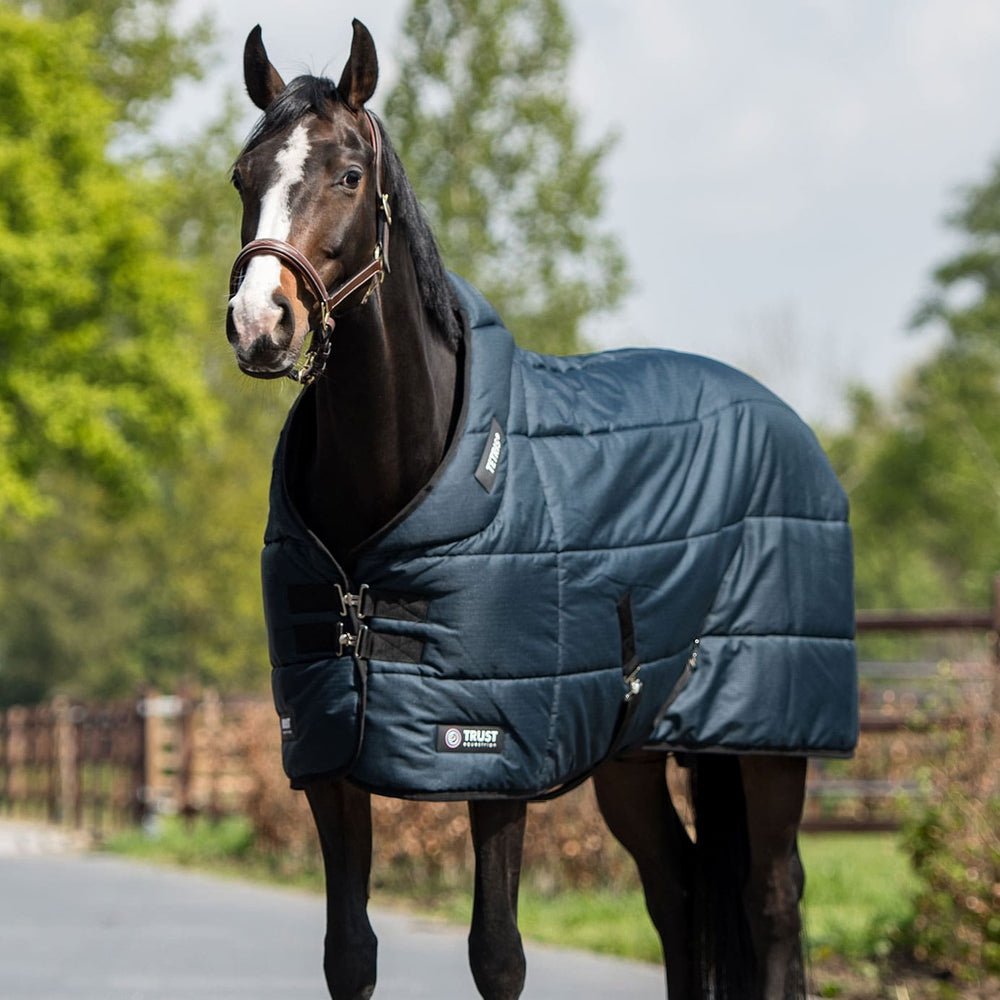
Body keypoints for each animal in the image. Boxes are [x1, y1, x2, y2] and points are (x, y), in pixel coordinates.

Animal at [225, 19, 857, 1000]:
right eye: (243, 176)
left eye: (348, 175)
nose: (261, 324)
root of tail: (787, 423)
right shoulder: (328, 760)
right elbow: (349, 955)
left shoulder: (497, 762)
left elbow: (497, 955)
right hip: (635, 753)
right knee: (678, 892)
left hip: (769, 745)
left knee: (774, 904)